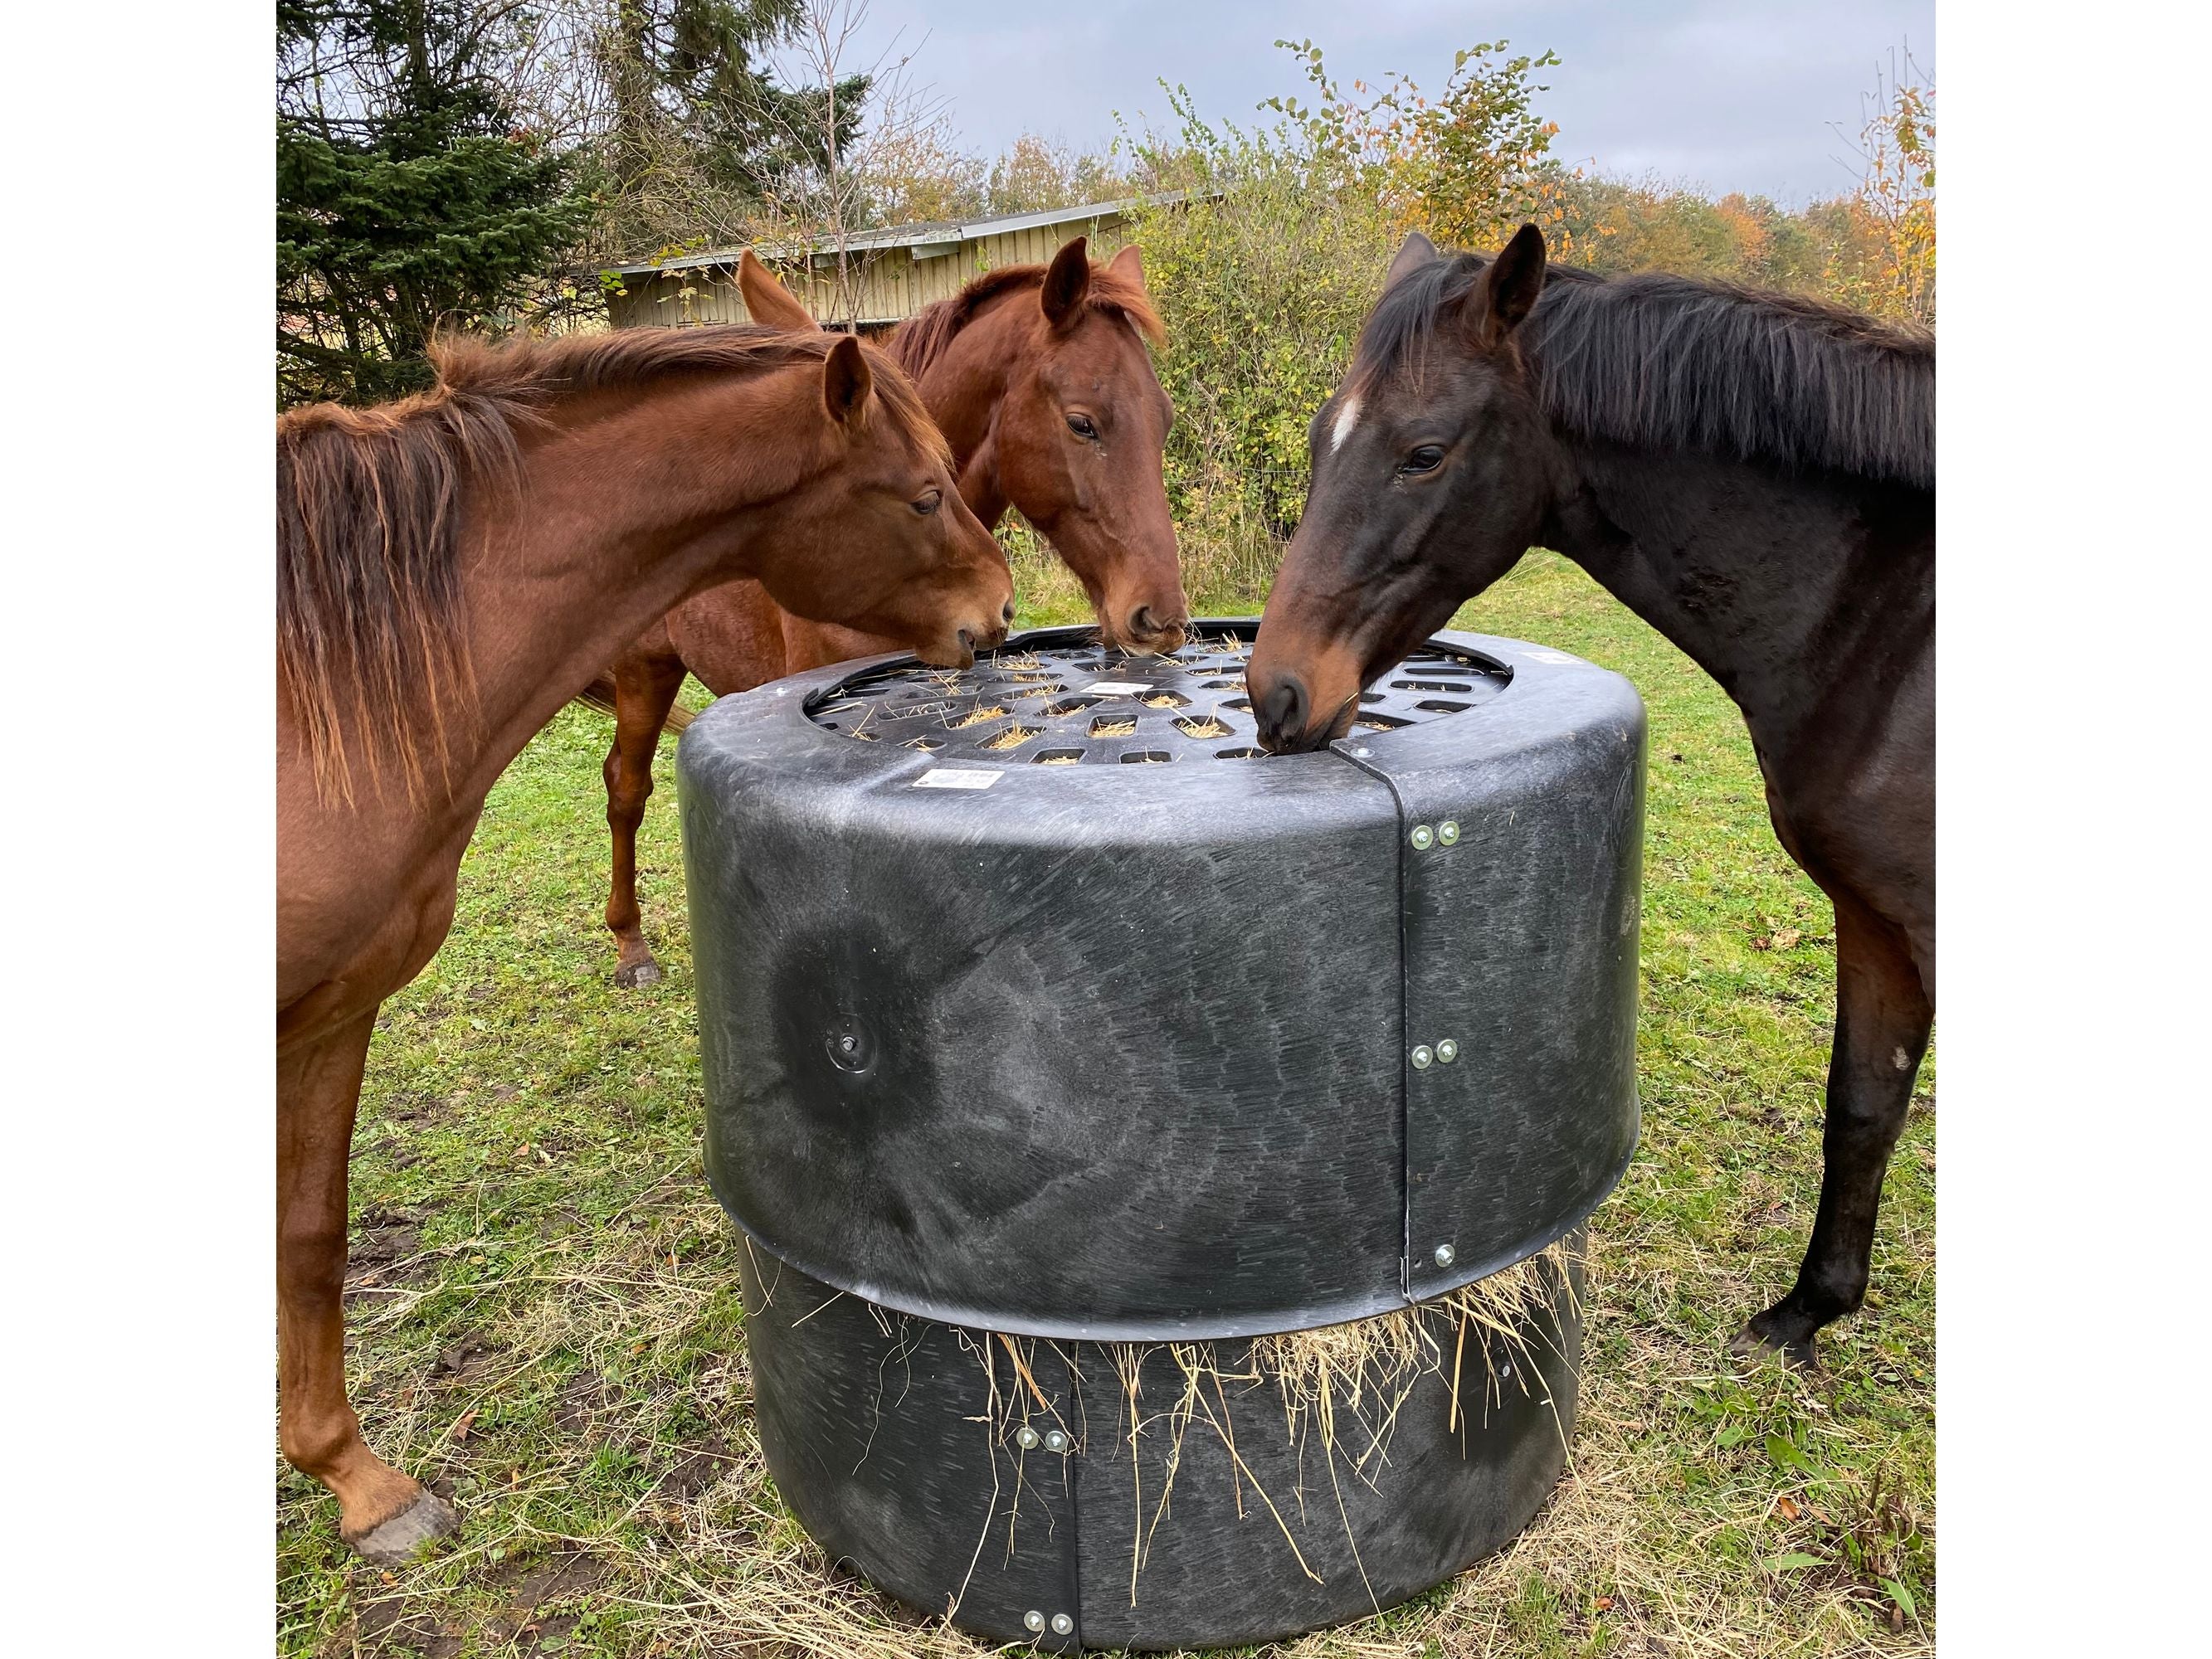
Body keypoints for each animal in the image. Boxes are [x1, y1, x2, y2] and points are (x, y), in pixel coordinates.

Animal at [278, 326, 1011, 1561]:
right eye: (921, 493)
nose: (999, 609)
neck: (332, 685)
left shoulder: (335, 1008)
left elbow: (312, 1240)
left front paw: (357, 1482)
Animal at [583, 235, 1188, 987]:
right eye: (1083, 423)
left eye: (1164, 419)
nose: (1160, 617)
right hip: (645, 672)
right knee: (626, 788)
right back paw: (631, 946)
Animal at [1248, 227, 1933, 1371]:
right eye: (1316, 441)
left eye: (1422, 453)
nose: (1276, 693)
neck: (1884, 621)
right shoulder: (1872, 915)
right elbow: (1860, 1104)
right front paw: (1808, 1308)